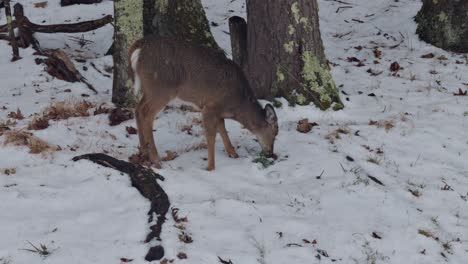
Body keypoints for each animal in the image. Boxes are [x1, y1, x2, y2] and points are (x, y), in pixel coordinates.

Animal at [127, 35, 278, 171]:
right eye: (274, 133)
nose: (270, 153)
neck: (237, 104)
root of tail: (140, 47)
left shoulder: (218, 111)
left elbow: (222, 129)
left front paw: (233, 154)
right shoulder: (210, 107)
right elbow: (211, 135)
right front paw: (210, 167)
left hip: (150, 89)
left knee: (138, 109)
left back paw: (144, 151)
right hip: (162, 88)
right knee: (147, 114)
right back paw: (156, 159)